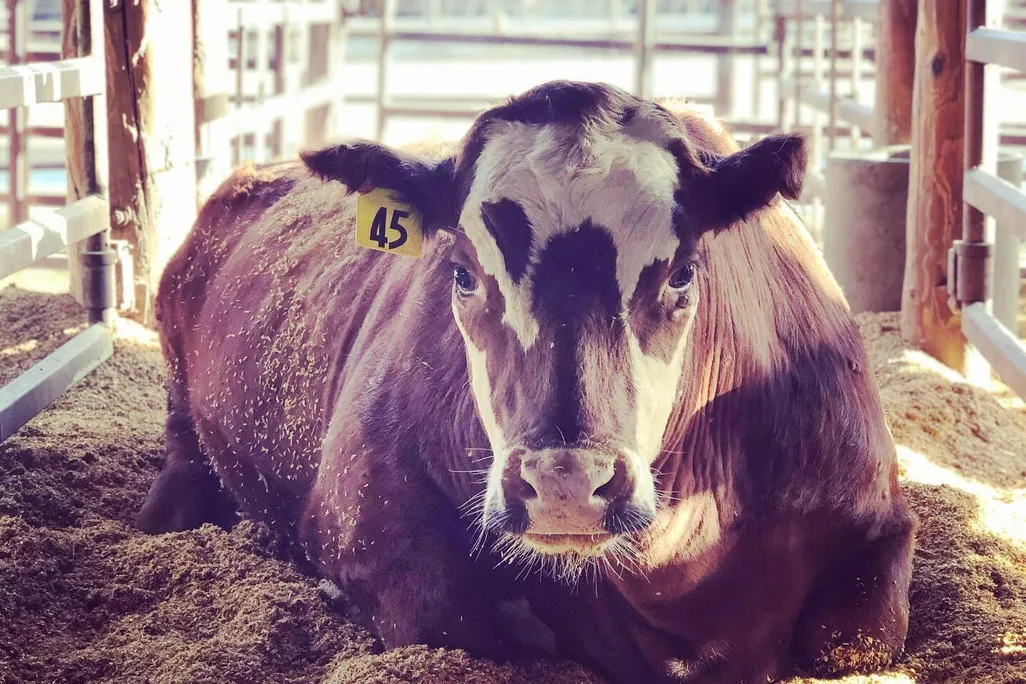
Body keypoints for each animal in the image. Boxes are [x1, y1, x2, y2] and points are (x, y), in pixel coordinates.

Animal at [136, 80, 917, 684]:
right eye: (461, 272)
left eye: (683, 272)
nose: (565, 481)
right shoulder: (361, 515)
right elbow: (447, 616)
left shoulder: (878, 519)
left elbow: (855, 639)